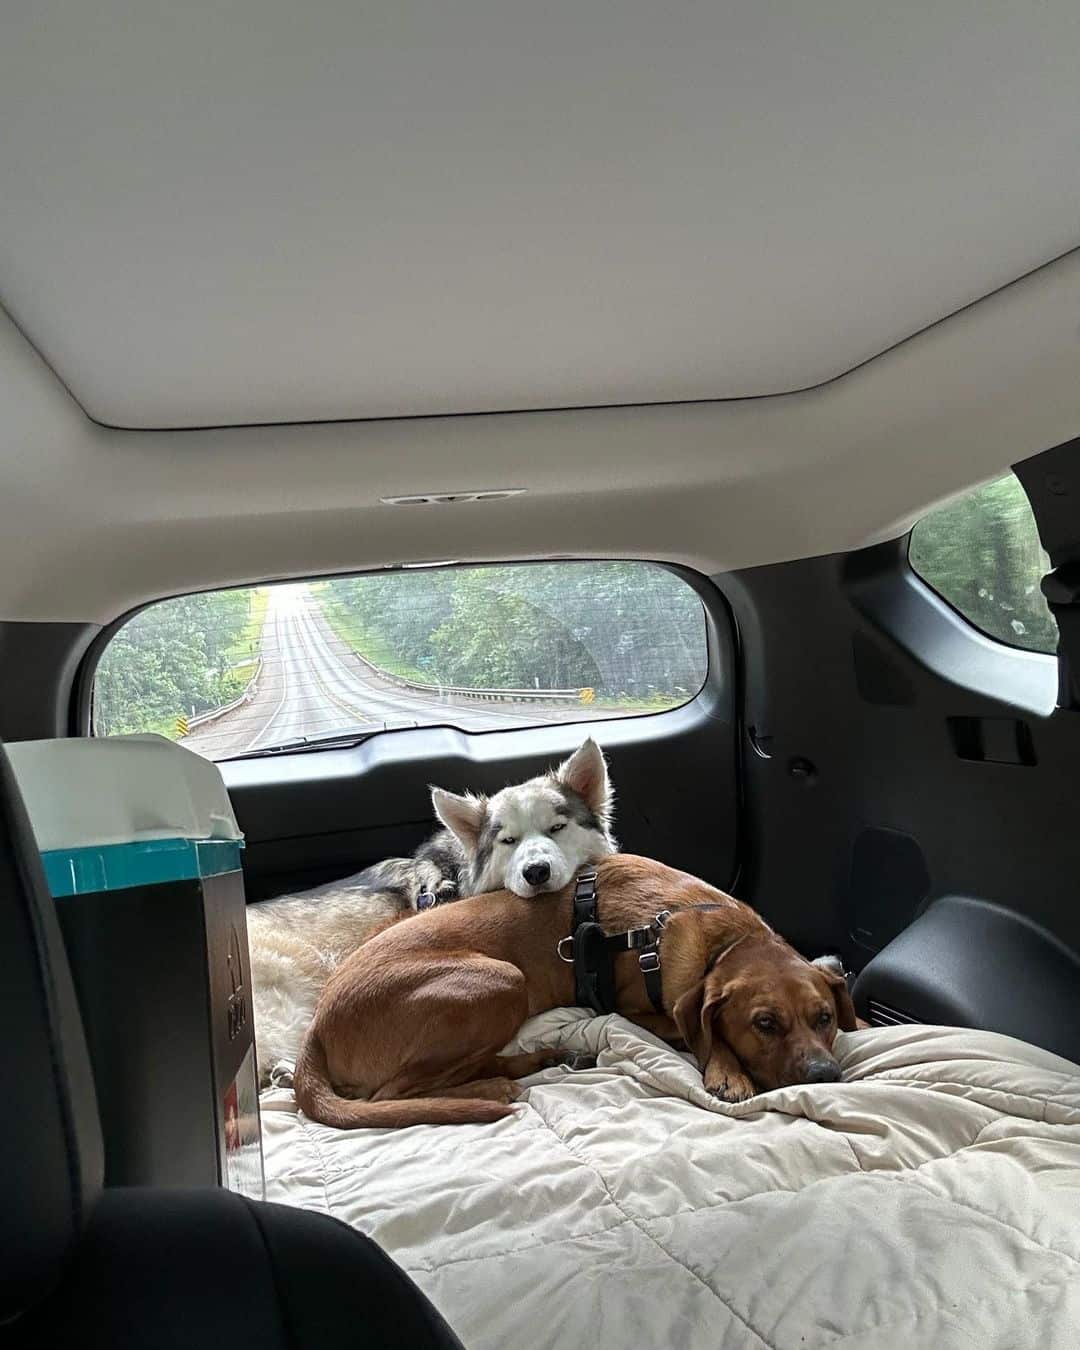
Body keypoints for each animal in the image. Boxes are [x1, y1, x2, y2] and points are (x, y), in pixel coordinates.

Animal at [292, 853, 853, 1128]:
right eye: (764, 1024)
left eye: (825, 1018)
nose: (825, 1077)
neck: (723, 938)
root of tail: (315, 1028)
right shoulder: (645, 1012)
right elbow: (701, 1031)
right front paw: (727, 1070)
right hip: (499, 980)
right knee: (393, 1094)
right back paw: (493, 1088)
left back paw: (541, 1059)